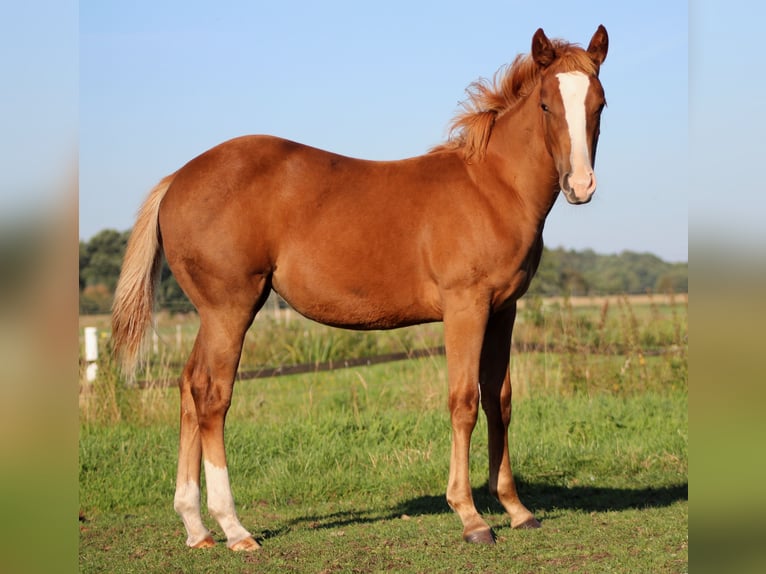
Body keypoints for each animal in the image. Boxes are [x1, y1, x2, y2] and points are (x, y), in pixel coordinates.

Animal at [111, 25, 608, 550]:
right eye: (546, 105)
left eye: (599, 104)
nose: (580, 185)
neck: (492, 187)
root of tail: (177, 179)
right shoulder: (465, 308)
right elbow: (464, 402)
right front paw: (471, 517)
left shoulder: (503, 310)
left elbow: (500, 400)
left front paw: (515, 508)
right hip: (230, 308)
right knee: (212, 395)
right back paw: (234, 528)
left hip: (212, 314)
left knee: (188, 388)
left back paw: (195, 527)